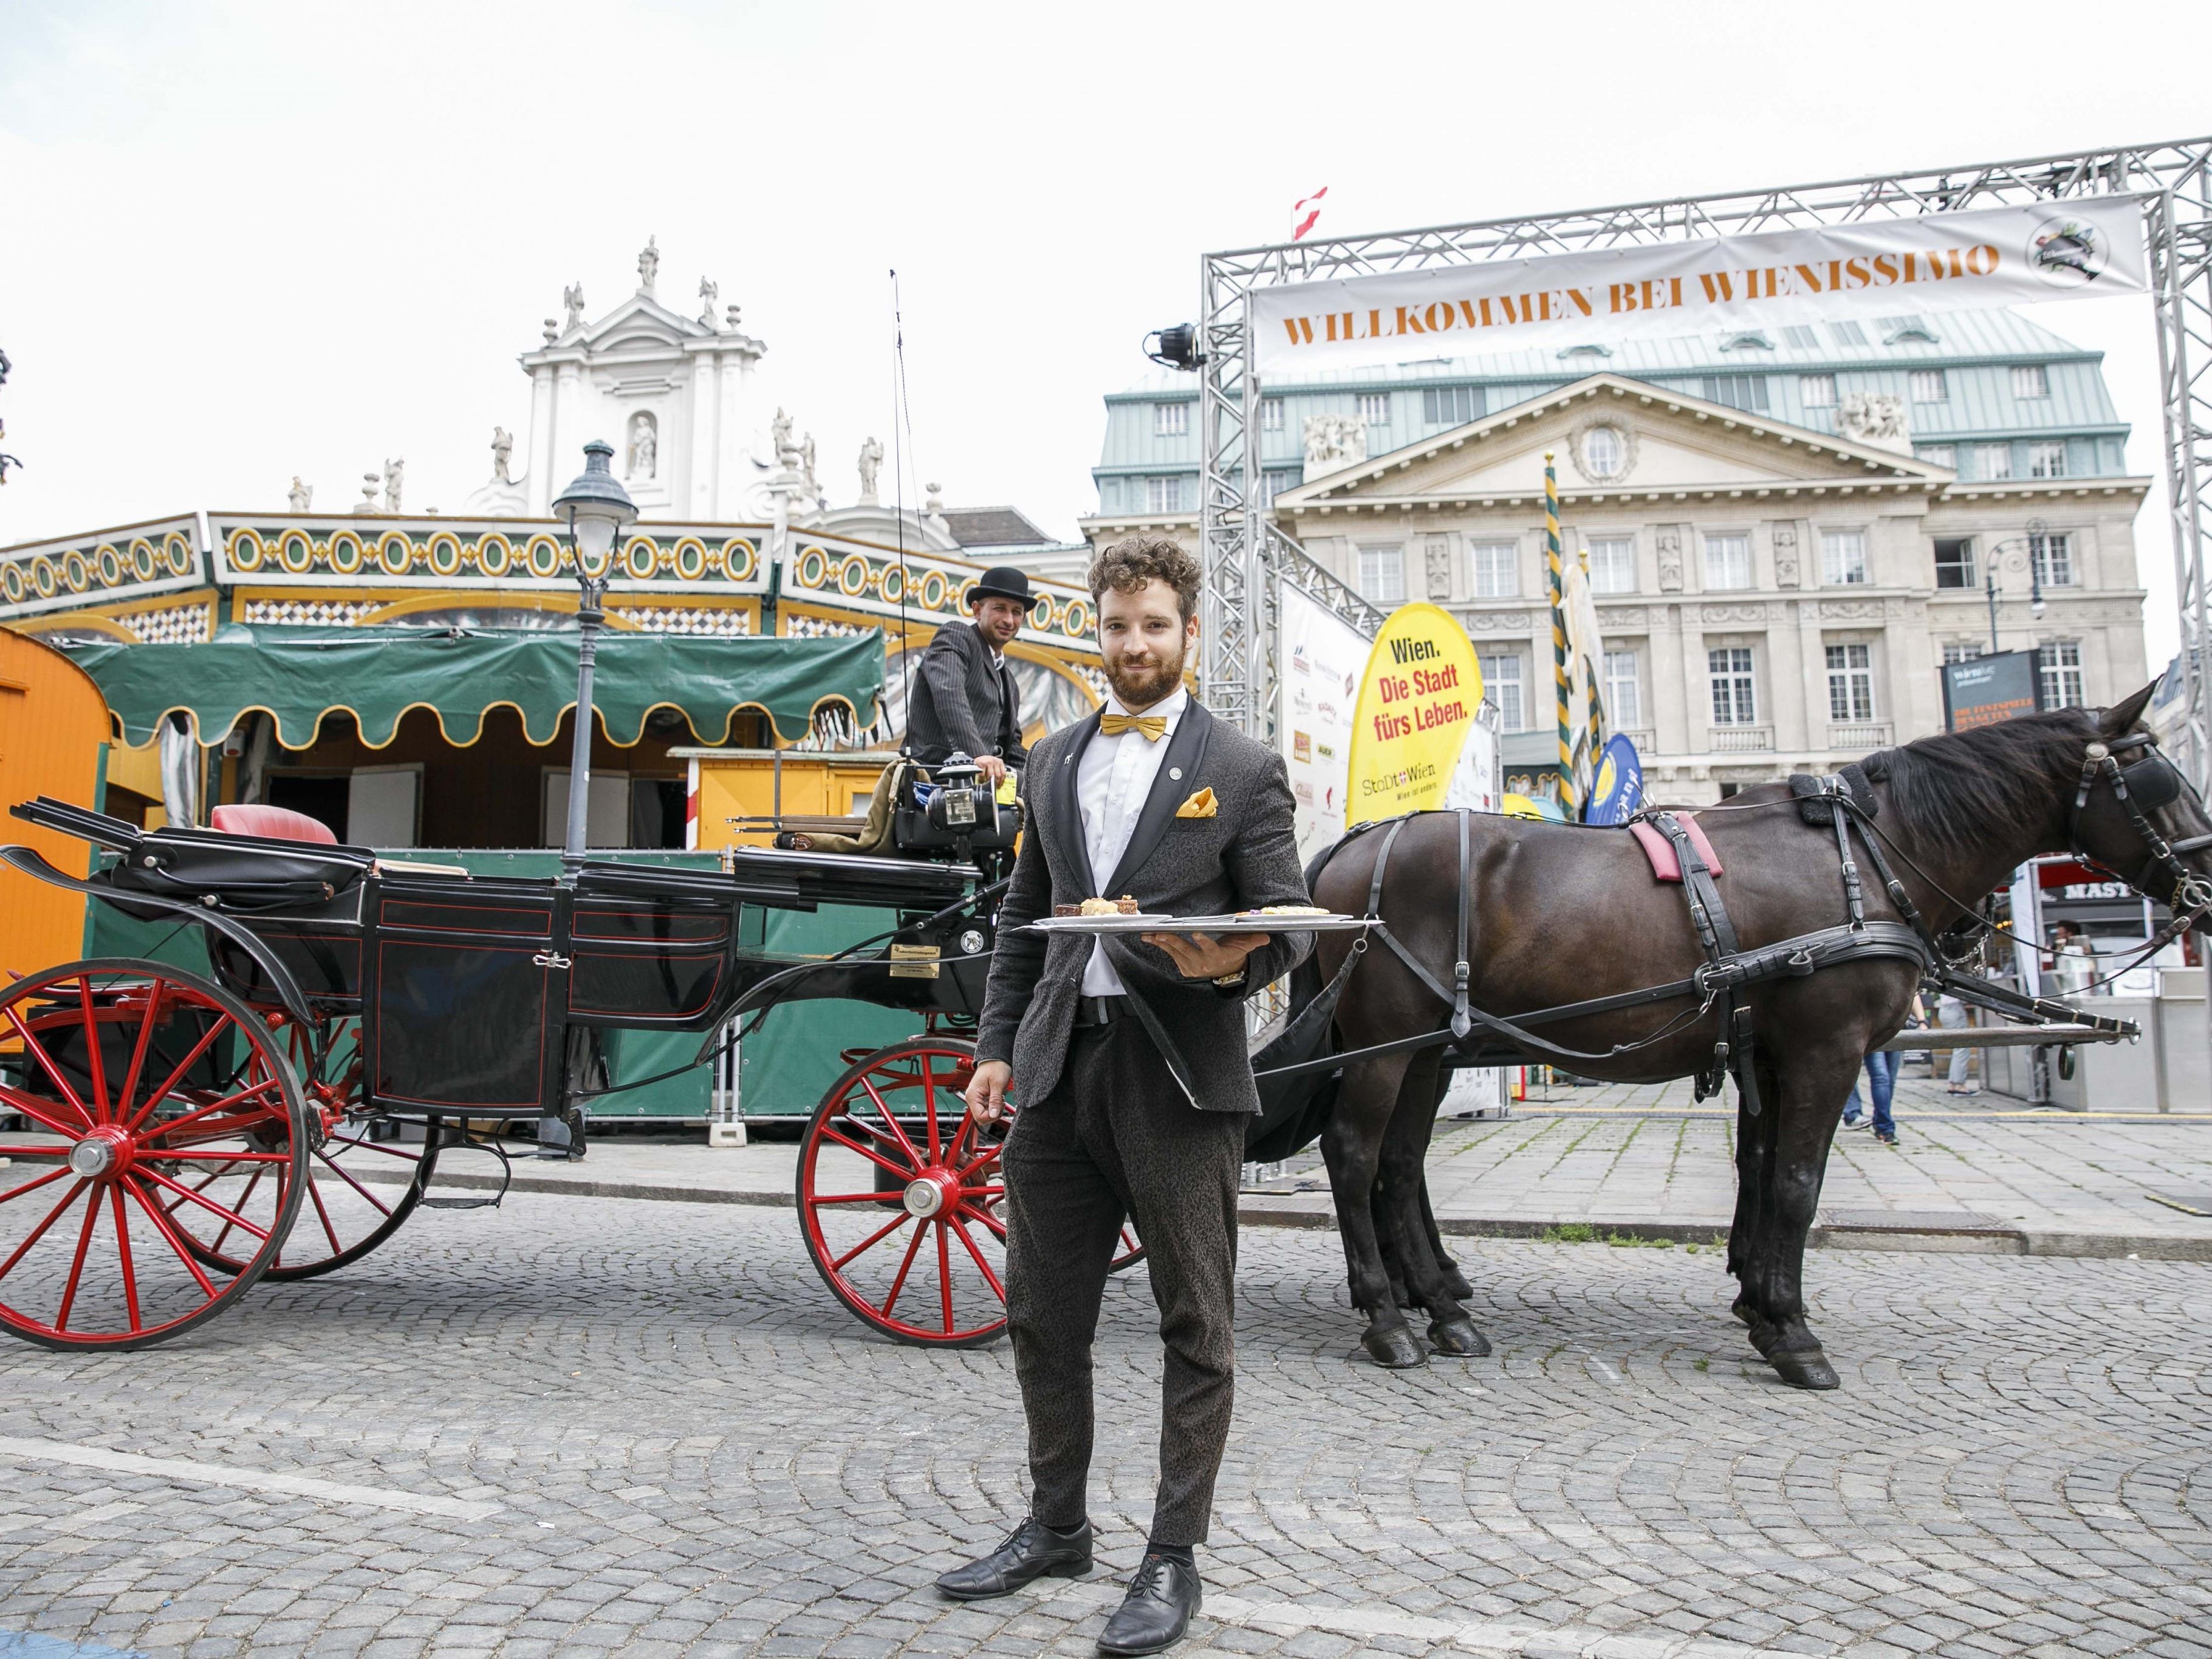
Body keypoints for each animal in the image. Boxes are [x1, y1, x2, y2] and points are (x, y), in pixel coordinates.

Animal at [1309, 690, 2212, 1389]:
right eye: (2153, 774)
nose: (2206, 885)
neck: (1866, 857)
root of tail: (1354, 845)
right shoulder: (1827, 1049)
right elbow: (1796, 1184)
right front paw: (1792, 1331)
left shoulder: (1773, 1055)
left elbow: (1761, 1170)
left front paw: (1757, 1302)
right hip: (1389, 1043)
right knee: (1354, 1154)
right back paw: (1387, 1318)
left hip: (1429, 1048)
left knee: (1399, 1164)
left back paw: (1441, 1307)